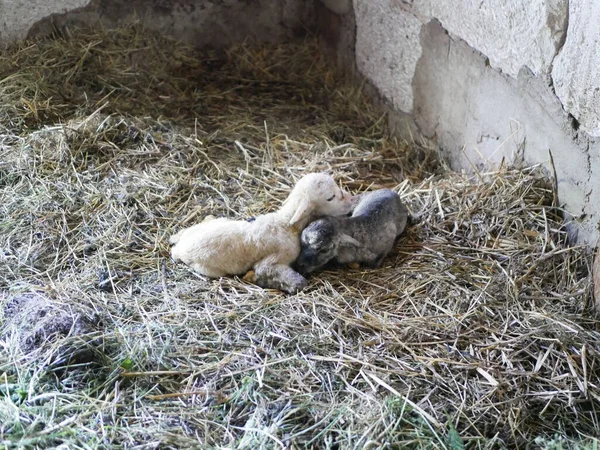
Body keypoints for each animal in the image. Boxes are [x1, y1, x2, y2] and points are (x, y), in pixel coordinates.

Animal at [169, 171, 354, 294]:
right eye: (330, 197)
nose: (352, 200)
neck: (285, 224)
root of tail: (179, 248)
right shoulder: (273, 260)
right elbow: (288, 278)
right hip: (208, 269)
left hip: (212, 222)